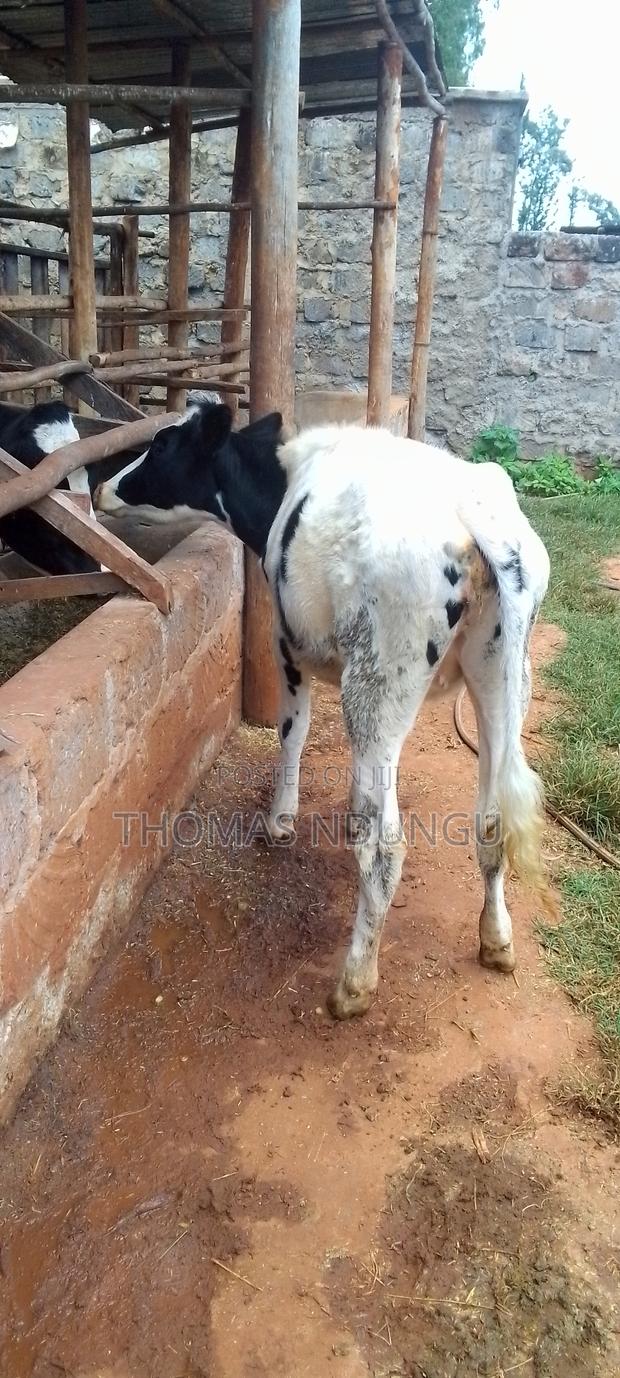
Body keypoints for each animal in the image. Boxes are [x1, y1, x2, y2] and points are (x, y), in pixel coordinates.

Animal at [95, 400, 551, 1020]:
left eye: (163, 445)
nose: (102, 487)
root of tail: (475, 514)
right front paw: (345, 814)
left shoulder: (285, 642)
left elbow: (293, 729)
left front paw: (279, 820)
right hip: (501, 682)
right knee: (491, 818)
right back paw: (497, 941)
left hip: (380, 680)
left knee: (386, 848)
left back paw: (354, 983)